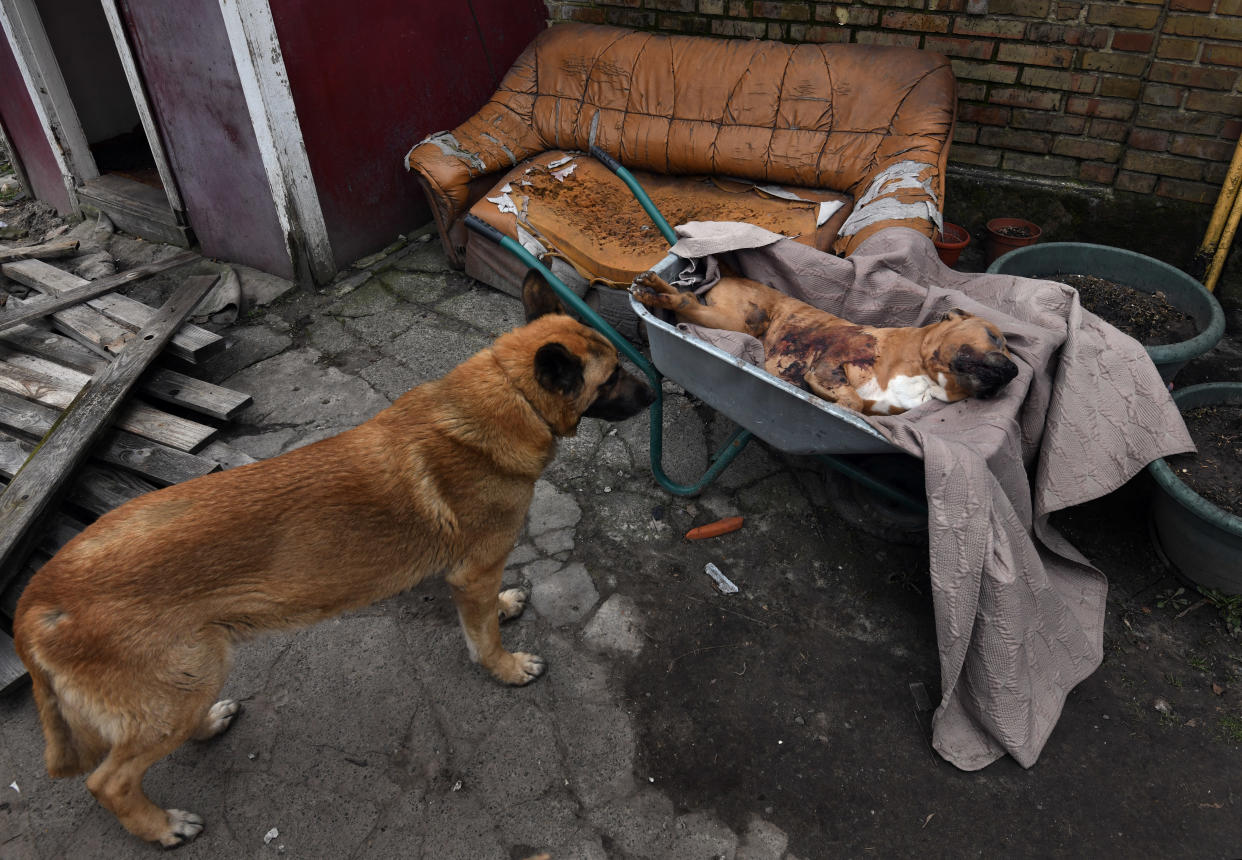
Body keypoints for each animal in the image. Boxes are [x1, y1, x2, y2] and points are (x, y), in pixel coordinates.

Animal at [14, 301, 655, 845]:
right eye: (612, 378)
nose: (656, 391)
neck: (511, 394)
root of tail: (36, 598)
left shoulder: (469, 574)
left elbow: (485, 610)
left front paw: (504, 608)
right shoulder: (474, 571)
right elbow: (483, 638)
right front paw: (507, 667)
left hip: (186, 680)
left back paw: (209, 724)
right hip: (184, 678)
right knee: (109, 781)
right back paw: (162, 826)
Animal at [630, 268, 1018, 417]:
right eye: (994, 337)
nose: (1015, 371)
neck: (923, 375)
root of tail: (724, 274)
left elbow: (857, 405)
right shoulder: (831, 361)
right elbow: (849, 396)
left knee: (687, 300)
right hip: (740, 320)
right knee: (684, 301)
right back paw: (654, 289)